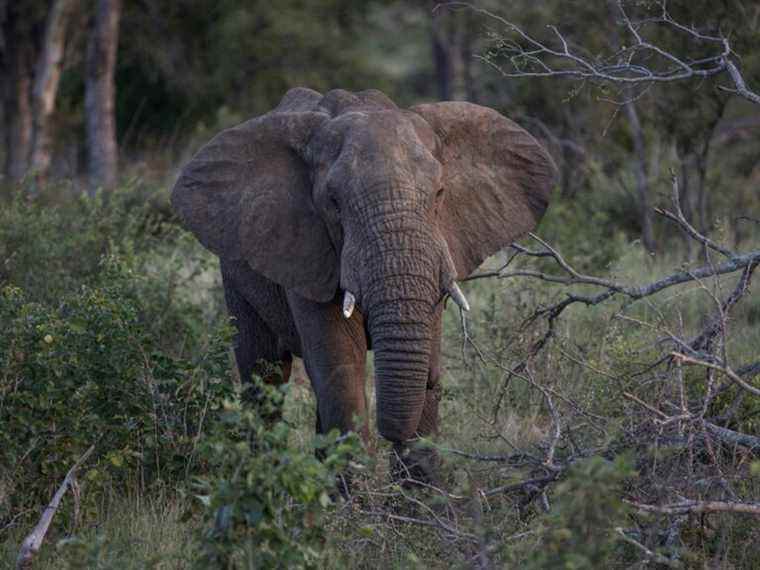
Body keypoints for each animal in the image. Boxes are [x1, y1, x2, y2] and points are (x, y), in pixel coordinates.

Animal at [169, 86, 556, 482]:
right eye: (334, 203)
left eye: (439, 194)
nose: (393, 435)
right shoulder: (310, 250)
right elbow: (341, 368)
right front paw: (357, 493)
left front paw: (420, 492)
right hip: (235, 272)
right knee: (264, 373)